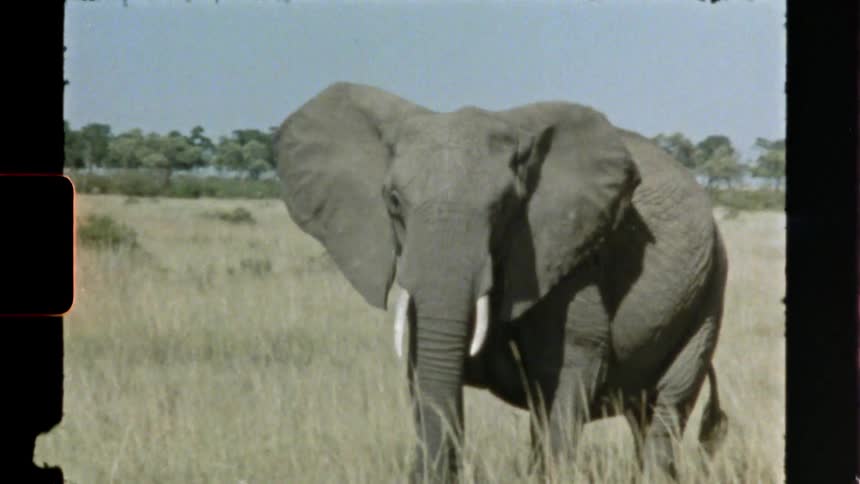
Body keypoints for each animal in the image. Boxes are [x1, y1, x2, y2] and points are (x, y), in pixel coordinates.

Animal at [274, 82, 729, 482]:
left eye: (505, 207)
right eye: (393, 201)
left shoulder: (571, 255)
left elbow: (568, 367)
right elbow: (426, 369)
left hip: (709, 290)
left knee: (666, 408)